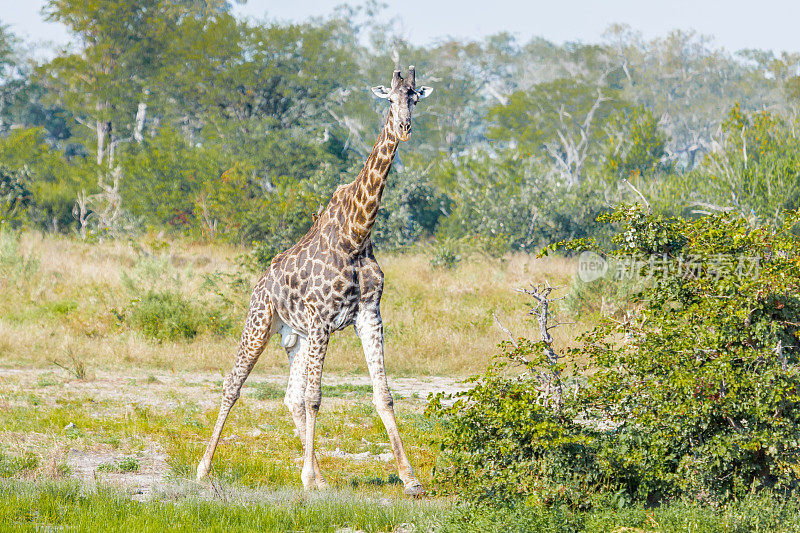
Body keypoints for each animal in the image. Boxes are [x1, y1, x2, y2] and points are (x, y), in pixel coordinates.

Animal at [195, 64, 432, 496]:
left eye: (415, 98)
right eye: (389, 100)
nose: (404, 127)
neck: (356, 234)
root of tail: (260, 282)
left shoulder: (368, 316)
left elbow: (383, 395)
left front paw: (411, 480)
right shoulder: (322, 319)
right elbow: (316, 397)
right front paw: (305, 478)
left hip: (297, 337)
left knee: (290, 396)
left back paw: (321, 476)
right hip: (261, 321)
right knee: (234, 384)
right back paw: (204, 468)